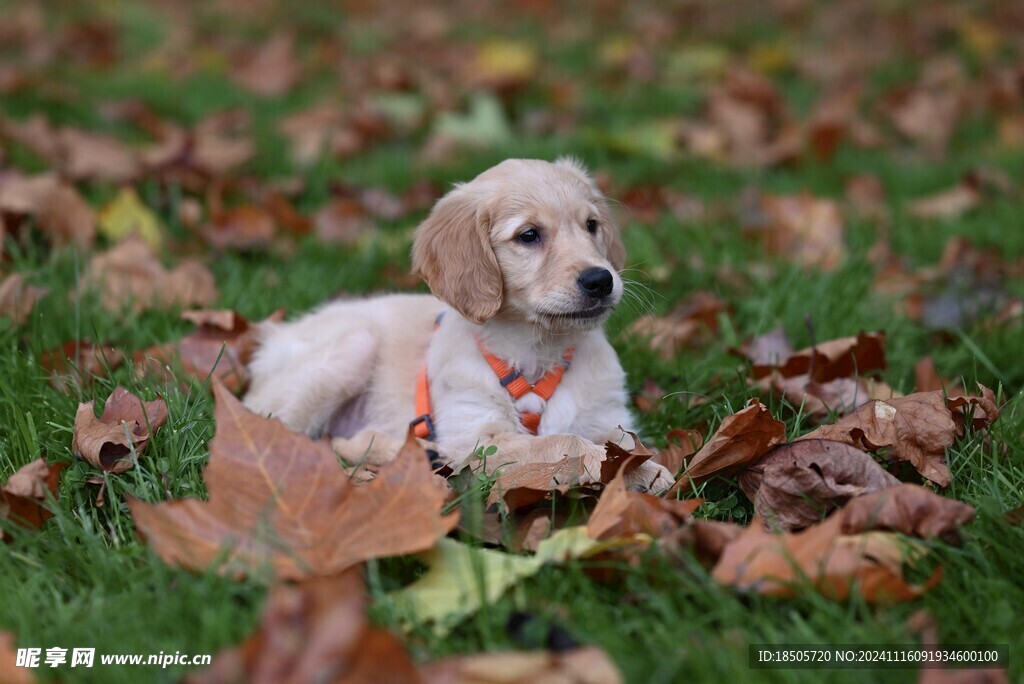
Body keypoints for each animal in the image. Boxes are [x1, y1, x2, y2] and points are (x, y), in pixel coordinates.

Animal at [243, 158, 675, 491]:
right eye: (529, 235)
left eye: (591, 225)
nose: (601, 280)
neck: (537, 350)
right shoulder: (478, 438)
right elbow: (564, 441)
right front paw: (636, 472)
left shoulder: (606, 416)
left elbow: (619, 443)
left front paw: (643, 470)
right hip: (351, 347)